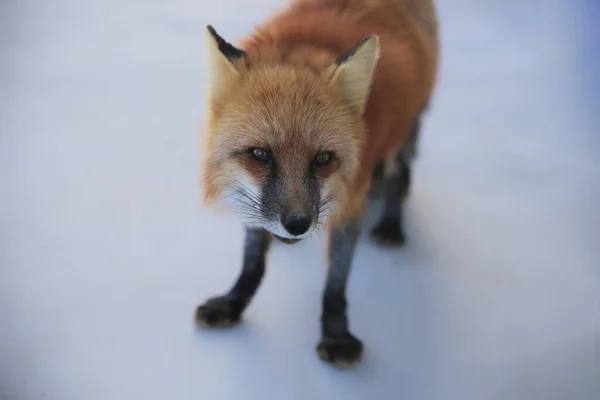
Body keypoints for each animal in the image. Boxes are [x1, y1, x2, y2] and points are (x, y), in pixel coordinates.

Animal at [195, 0, 438, 368]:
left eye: (323, 158)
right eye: (260, 154)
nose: (297, 225)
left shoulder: (351, 200)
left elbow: (336, 280)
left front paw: (336, 334)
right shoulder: (254, 201)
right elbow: (252, 261)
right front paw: (234, 302)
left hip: (406, 131)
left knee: (401, 174)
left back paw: (391, 224)